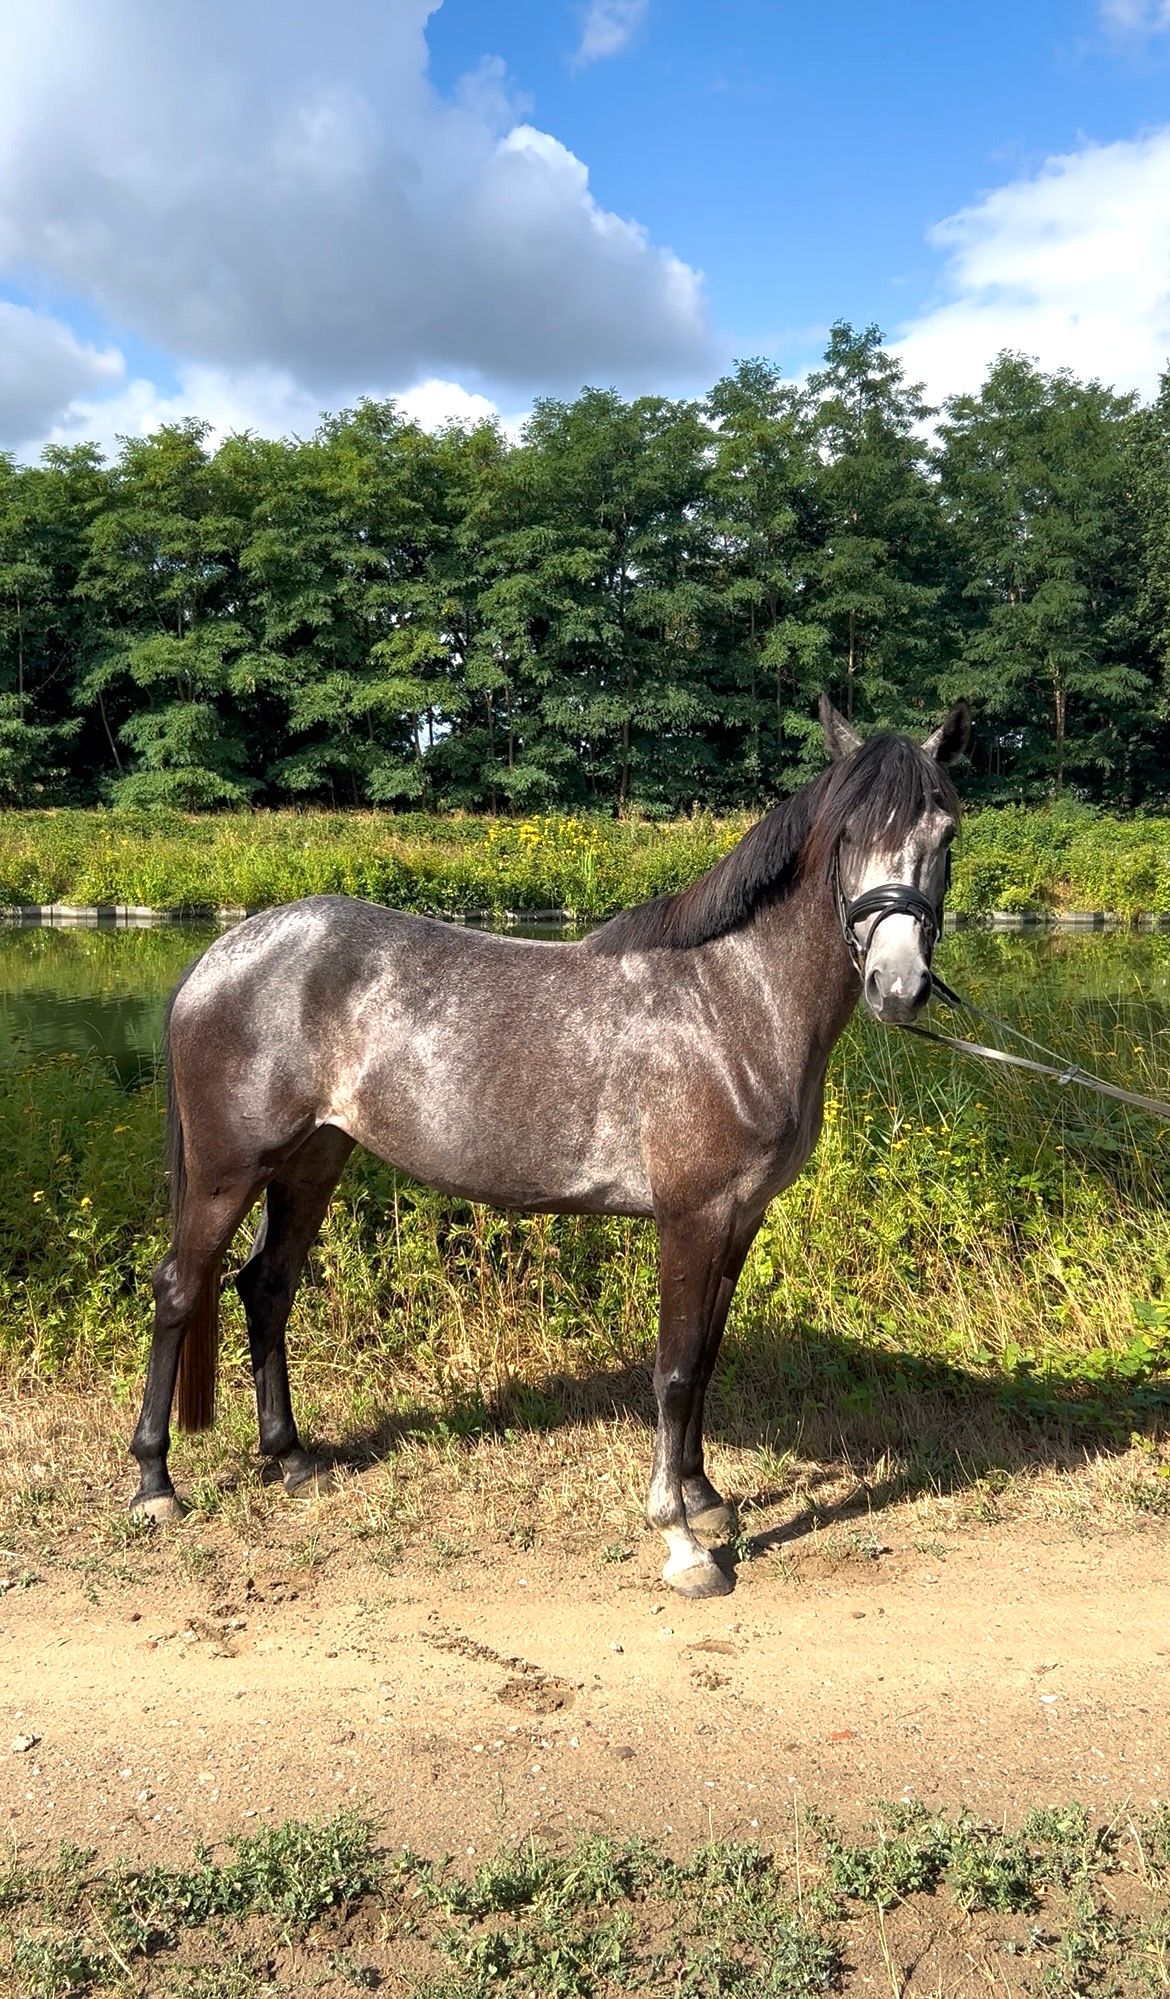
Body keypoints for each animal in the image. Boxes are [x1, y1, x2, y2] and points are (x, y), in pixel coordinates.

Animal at [128, 694, 970, 1598]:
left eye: (946, 832)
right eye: (848, 835)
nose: (898, 986)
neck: (729, 1001)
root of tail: (219, 956)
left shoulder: (739, 1220)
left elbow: (707, 1356)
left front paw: (706, 1498)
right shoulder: (692, 1217)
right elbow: (675, 1368)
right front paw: (681, 1540)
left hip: (312, 1161)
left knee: (267, 1287)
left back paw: (291, 1459)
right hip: (228, 1172)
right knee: (180, 1287)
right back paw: (154, 1484)